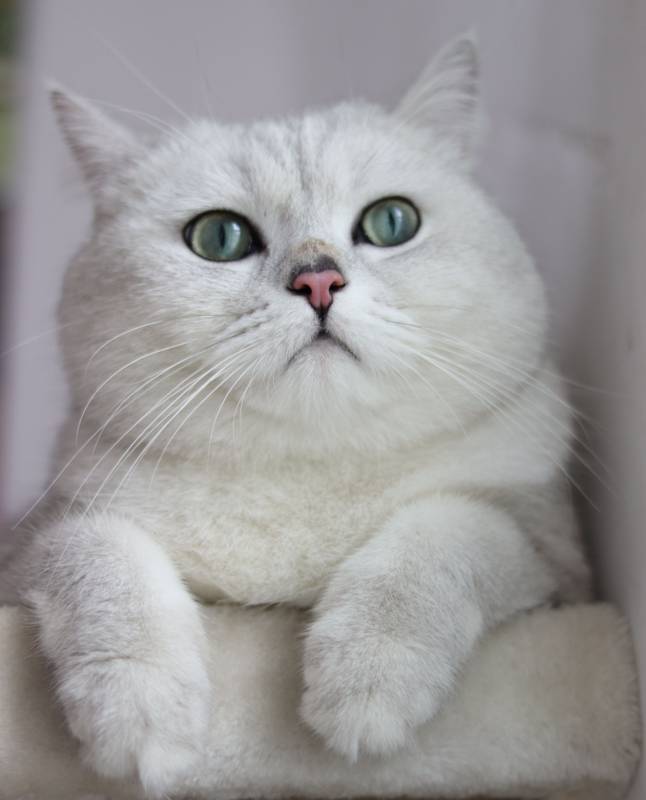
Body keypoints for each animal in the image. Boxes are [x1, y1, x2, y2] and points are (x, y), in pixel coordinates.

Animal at [6, 34, 592, 796]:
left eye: (392, 222)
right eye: (219, 237)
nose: (318, 279)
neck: (303, 473)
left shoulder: (558, 569)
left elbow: (450, 532)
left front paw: (366, 684)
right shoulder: (30, 541)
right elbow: (95, 551)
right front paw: (138, 713)